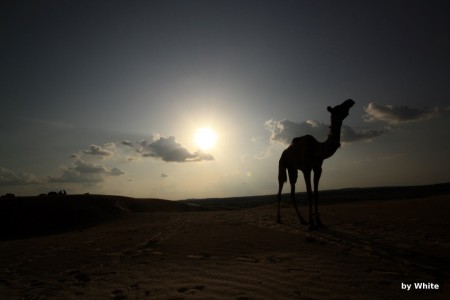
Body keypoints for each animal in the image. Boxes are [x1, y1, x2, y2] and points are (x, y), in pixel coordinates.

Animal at [278, 99, 356, 231]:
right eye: (339, 107)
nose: (350, 101)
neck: (317, 149)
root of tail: (285, 151)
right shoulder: (306, 169)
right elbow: (309, 194)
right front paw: (311, 223)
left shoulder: (318, 168)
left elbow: (316, 193)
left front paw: (319, 222)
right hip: (282, 164)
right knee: (280, 185)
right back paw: (279, 219)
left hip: (293, 169)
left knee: (292, 191)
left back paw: (302, 220)